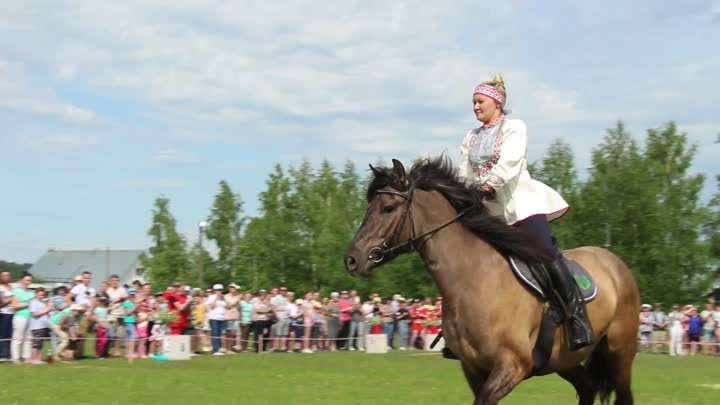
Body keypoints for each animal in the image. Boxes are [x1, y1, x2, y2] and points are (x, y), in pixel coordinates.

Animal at [344, 157, 640, 404]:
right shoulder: (473, 368)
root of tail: (613, 260)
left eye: (388, 208)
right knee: (587, 388)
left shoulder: (513, 365)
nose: (351, 259)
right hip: (565, 360)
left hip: (619, 353)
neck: (472, 280)